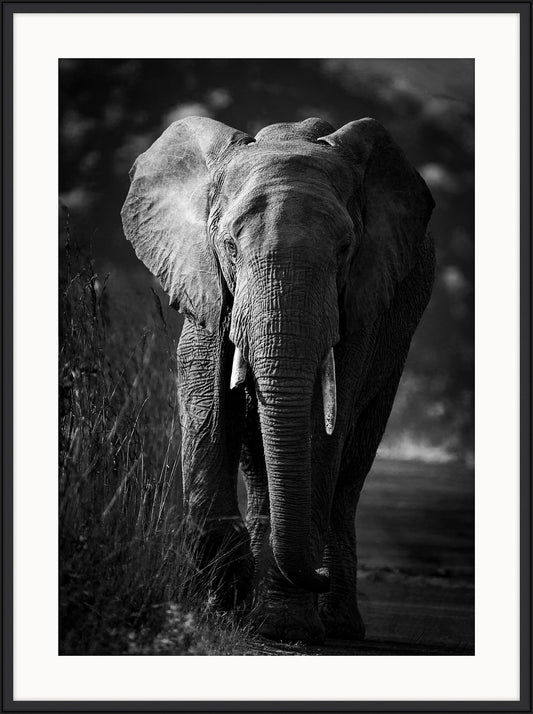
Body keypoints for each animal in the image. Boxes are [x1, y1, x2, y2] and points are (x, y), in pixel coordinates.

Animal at [121, 116, 435, 645]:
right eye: (228, 246)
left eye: (345, 249)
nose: (317, 574)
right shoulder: (205, 283)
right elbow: (207, 410)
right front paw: (227, 595)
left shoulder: (361, 301)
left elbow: (319, 431)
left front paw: (285, 627)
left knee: (351, 466)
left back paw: (337, 624)